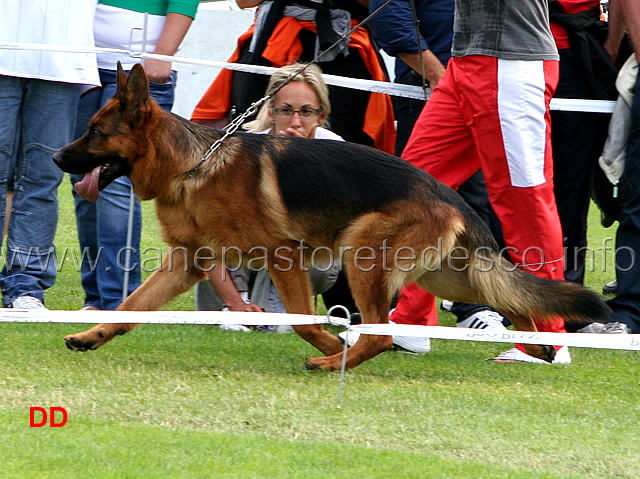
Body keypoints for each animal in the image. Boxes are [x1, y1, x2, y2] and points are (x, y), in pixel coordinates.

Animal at [52, 63, 608, 372]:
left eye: (95, 131)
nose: (56, 158)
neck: (193, 164)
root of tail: (451, 196)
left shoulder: (282, 257)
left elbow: (300, 320)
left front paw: (327, 340)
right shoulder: (189, 262)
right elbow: (130, 307)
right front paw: (90, 335)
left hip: (363, 255)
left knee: (380, 333)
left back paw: (332, 360)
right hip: (448, 276)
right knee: (513, 300)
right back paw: (538, 345)